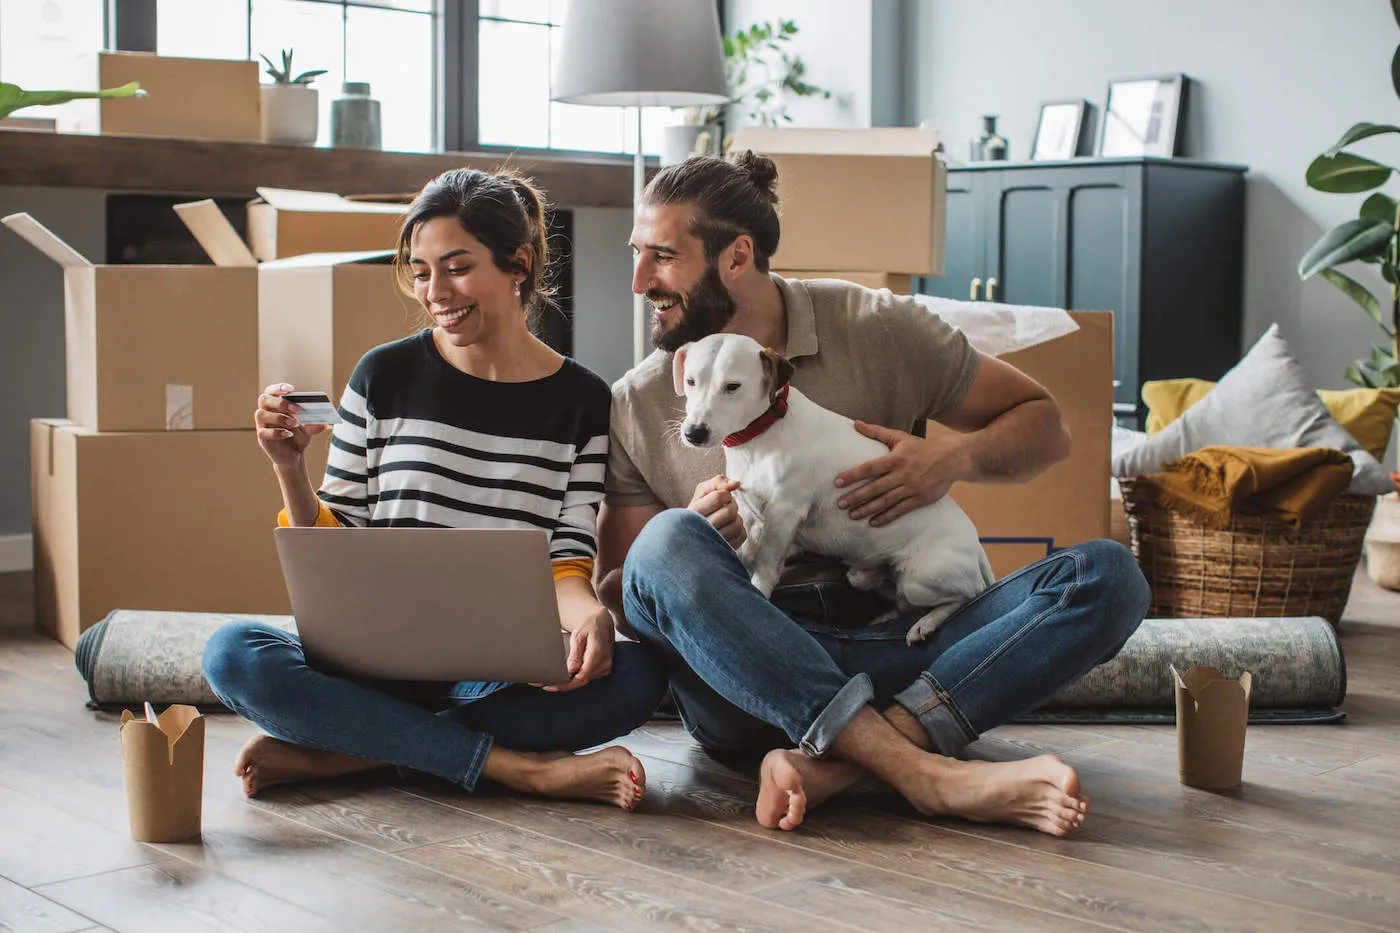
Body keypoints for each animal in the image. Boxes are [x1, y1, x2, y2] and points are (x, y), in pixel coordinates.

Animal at [672, 330, 991, 644]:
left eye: (732, 386)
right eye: (691, 381)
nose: (693, 433)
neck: (762, 433)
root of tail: (977, 550)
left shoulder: (784, 513)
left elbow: (765, 563)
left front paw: (759, 589)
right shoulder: (751, 512)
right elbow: (749, 546)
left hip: (920, 580)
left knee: (964, 596)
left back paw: (926, 623)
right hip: (867, 577)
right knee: (895, 597)